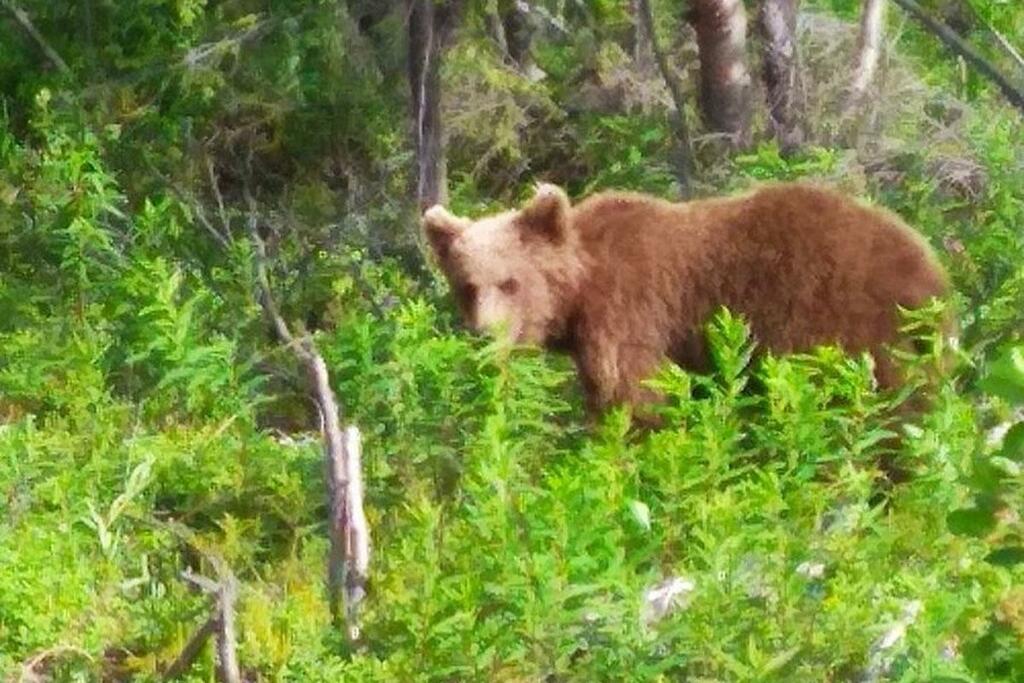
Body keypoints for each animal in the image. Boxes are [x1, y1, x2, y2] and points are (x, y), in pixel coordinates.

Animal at [422, 182, 950, 420]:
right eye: (467, 286)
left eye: (509, 282)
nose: (485, 335)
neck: (579, 292)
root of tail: (932, 275)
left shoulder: (630, 308)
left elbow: (636, 396)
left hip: (839, 323)